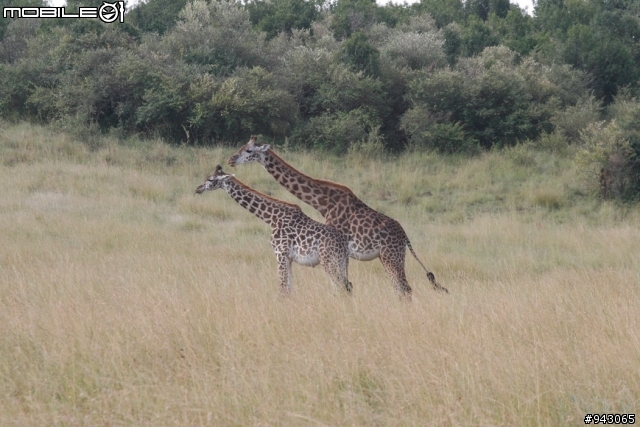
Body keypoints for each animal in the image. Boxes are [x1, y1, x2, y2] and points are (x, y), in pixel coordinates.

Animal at [196, 166, 352, 296]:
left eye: (211, 179)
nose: (198, 188)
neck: (271, 218)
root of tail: (343, 245)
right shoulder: (288, 258)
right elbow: (288, 288)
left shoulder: (280, 253)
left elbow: (282, 288)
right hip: (340, 262)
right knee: (347, 286)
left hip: (328, 260)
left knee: (339, 287)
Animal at [228, 137, 448, 298]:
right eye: (241, 146)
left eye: (249, 151)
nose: (230, 160)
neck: (324, 203)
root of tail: (405, 237)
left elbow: (341, 285)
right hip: (389, 257)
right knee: (400, 288)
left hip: (391, 256)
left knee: (404, 287)